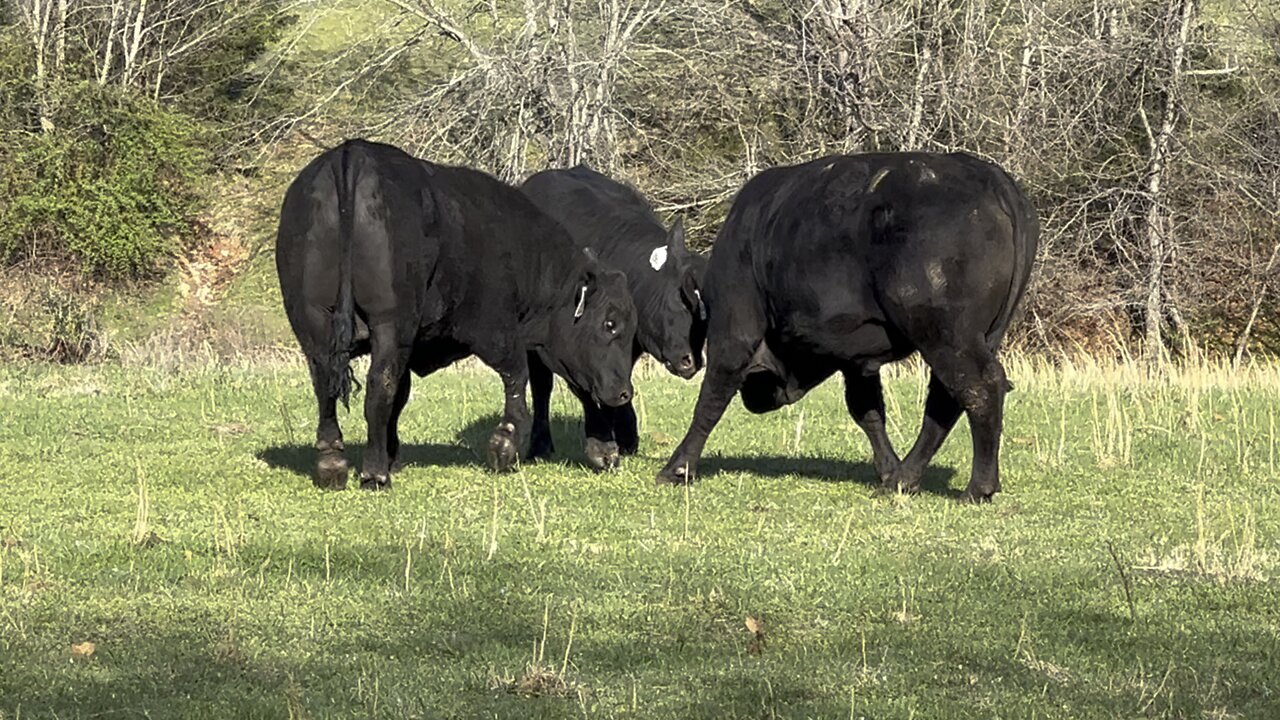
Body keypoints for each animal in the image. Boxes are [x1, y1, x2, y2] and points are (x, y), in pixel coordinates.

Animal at [280, 140, 640, 486]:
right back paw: (375, 473)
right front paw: (505, 447)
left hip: (314, 321)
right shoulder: (495, 330)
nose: (625, 392)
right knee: (378, 386)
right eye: (610, 324)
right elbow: (516, 376)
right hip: (389, 323)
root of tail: (354, 153)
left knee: (326, 384)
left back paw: (332, 465)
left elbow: (401, 394)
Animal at [660, 152, 1039, 499]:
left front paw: (677, 468)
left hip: (946, 338)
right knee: (947, 401)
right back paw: (902, 479)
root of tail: (989, 177)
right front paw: (887, 469)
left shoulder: (734, 333)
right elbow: (868, 412)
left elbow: (711, 398)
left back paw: (977, 487)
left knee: (979, 389)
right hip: (975, 338)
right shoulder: (857, 361)